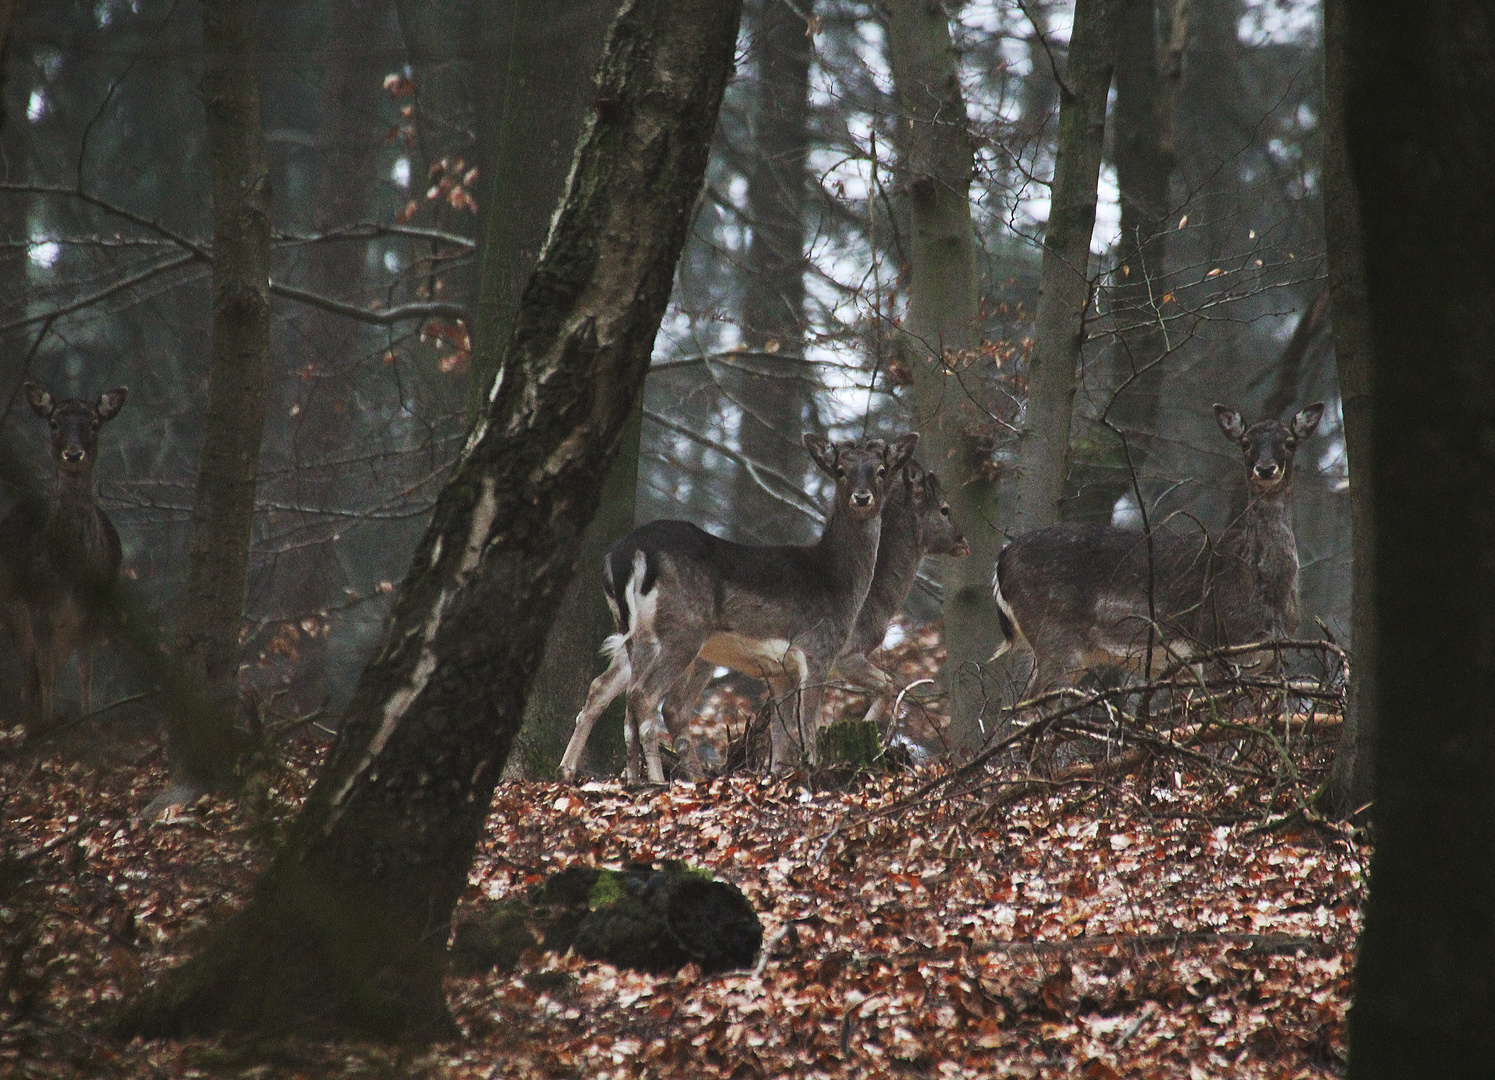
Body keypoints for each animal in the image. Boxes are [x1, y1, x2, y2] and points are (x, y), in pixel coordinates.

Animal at [556, 430, 914, 783]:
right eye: (841, 471)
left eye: (881, 470)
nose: (862, 497)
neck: (835, 581)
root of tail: (623, 555)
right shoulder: (819, 649)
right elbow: (809, 726)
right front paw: (814, 769)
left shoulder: (780, 670)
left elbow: (782, 733)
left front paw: (778, 774)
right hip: (682, 630)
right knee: (644, 695)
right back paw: (655, 779)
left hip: (633, 633)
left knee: (612, 692)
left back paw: (593, 774)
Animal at [986, 400, 1327, 691]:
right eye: (1245, 443)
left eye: (1290, 442)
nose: (1266, 469)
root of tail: (1002, 559)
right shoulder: (1215, 645)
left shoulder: (1271, 659)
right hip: (1055, 636)